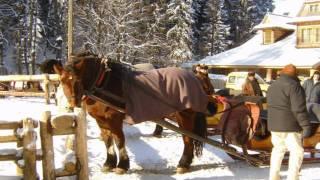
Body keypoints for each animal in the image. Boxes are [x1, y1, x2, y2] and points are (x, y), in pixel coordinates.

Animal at [53, 52, 211, 174]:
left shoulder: (114, 118)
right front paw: (109, 164)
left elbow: (119, 140)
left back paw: (183, 164)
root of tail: (194, 78)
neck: (103, 82)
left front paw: (122, 166)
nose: (71, 105)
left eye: (77, 80)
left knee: (187, 139)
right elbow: (107, 140)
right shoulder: (101, 119)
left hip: (185, 116)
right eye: (61, 81)